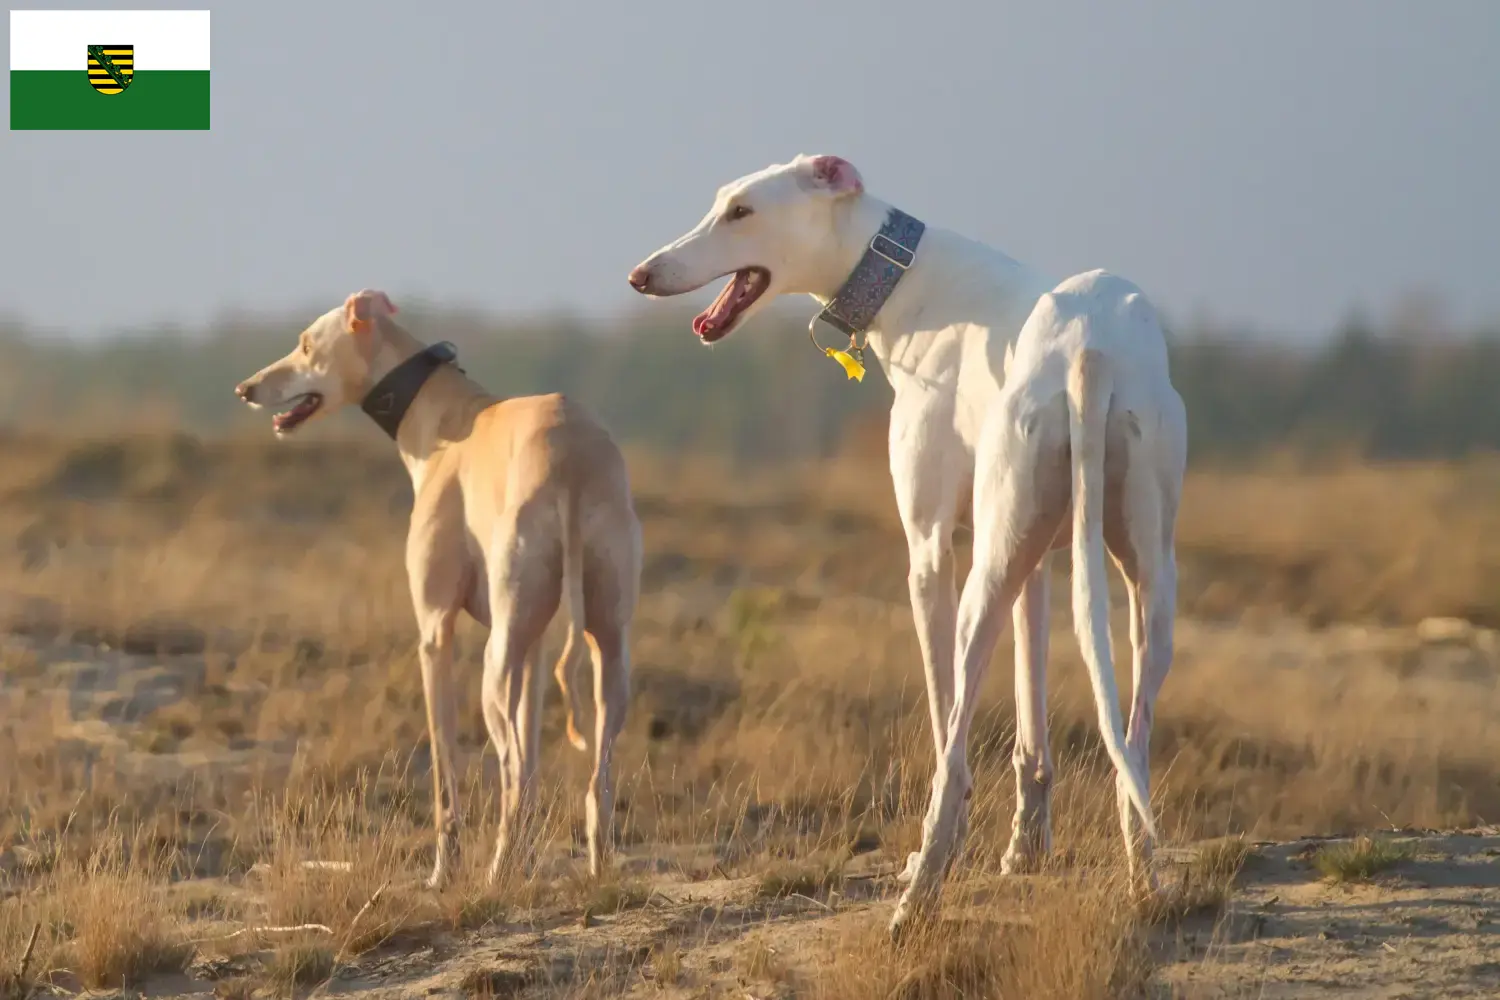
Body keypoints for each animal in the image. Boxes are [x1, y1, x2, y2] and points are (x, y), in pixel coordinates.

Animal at [630, 152, 1182, 935]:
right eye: (721, 203)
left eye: (741, 211)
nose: (641, 275)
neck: (909, 278)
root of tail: (1091, 349)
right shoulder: (1039, 557)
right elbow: (1033, 724)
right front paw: (1026, 849)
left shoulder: (929, 549)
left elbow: (947, 714)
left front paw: (959, 849)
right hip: (1140, 572)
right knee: (1132, 738)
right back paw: (1145, 878)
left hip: (984, 580)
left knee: (953, 742)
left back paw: (919, 890)